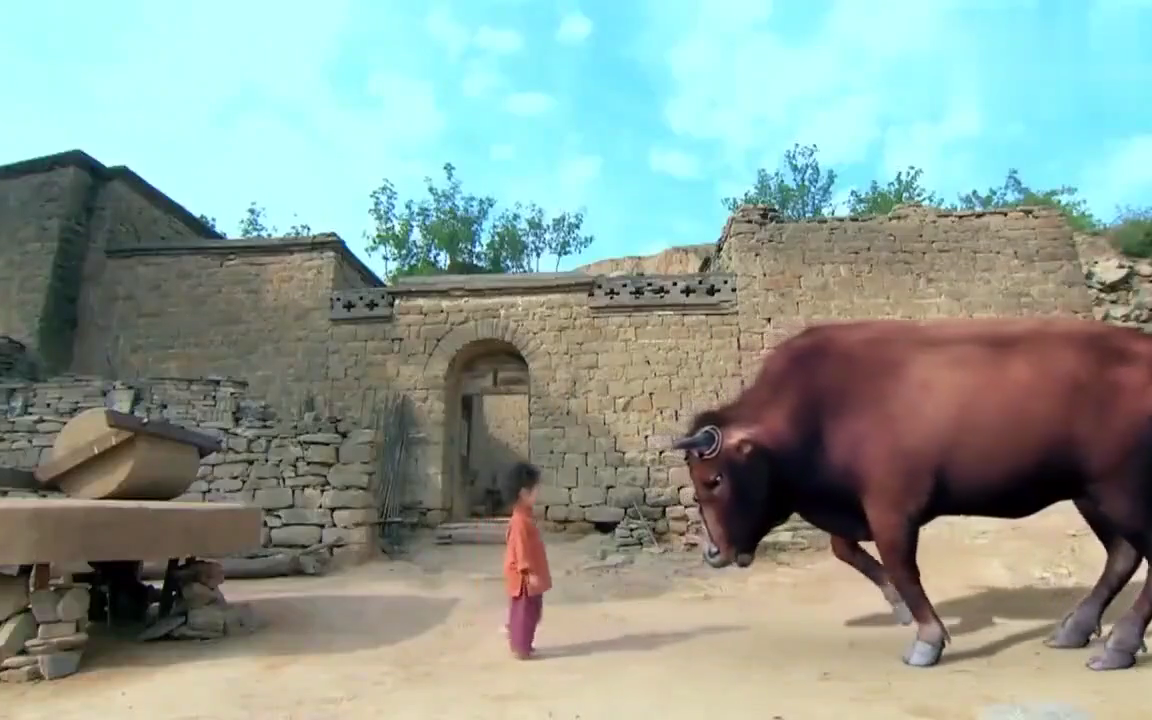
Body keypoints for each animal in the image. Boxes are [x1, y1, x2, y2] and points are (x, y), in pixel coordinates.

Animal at [672, 317, 1152, 672]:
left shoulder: (892, 510)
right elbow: (848, 551)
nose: (713, 553)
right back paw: (1075, 631)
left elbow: (905, 570)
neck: (819, 405)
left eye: (714, 479)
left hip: (1120, 493)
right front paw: (899, 607)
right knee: (1122, 554)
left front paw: (927, 641)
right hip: (1090, 495)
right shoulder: (852, 506)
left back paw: (1118, 646)